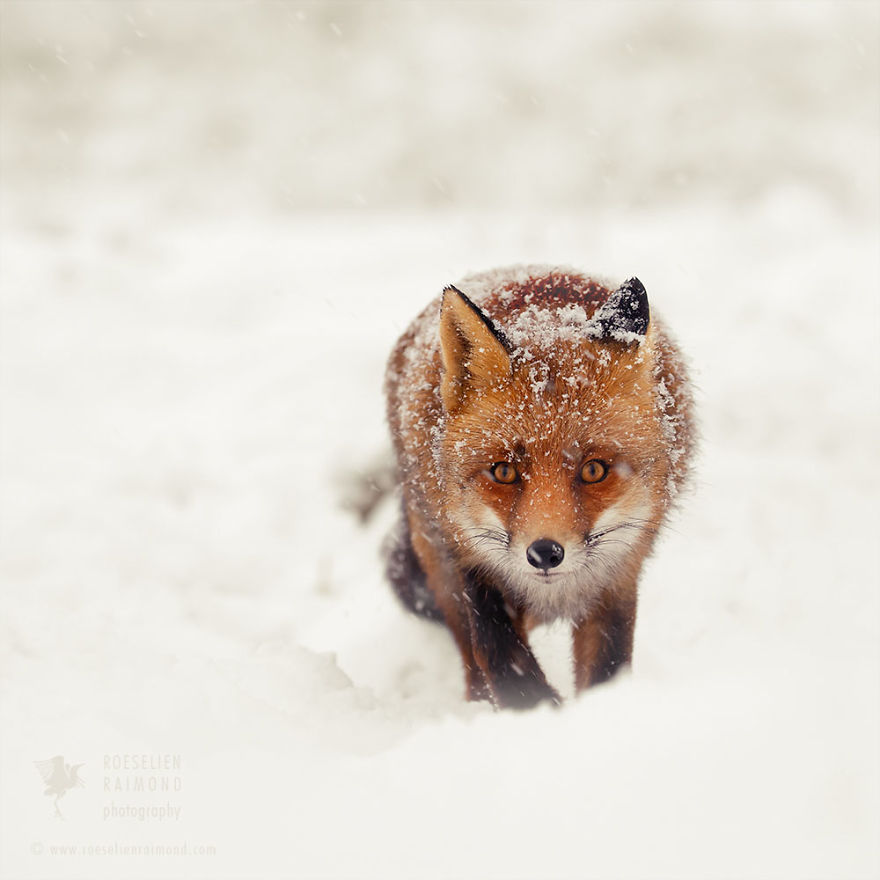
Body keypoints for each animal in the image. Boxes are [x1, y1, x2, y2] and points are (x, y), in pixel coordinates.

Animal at [384, 265, 695, 709]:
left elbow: (606, 671)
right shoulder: (468, 561)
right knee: (470, 657)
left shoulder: (618, 577)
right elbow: (506, 666)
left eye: (594, 470)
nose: (545, 553)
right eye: (504, 472)